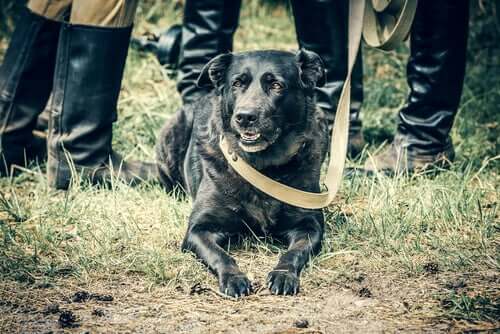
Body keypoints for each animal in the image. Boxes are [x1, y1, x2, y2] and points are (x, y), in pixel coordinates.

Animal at [156, 49, 328, 298]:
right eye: (237, 83)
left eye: (277, 85)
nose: (245, 116)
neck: (262, 166)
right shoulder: (198, 229)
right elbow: (221, 255)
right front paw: (234, 278)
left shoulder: (309, 225)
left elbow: (294, 252)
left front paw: (284, 275)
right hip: (172, 131)